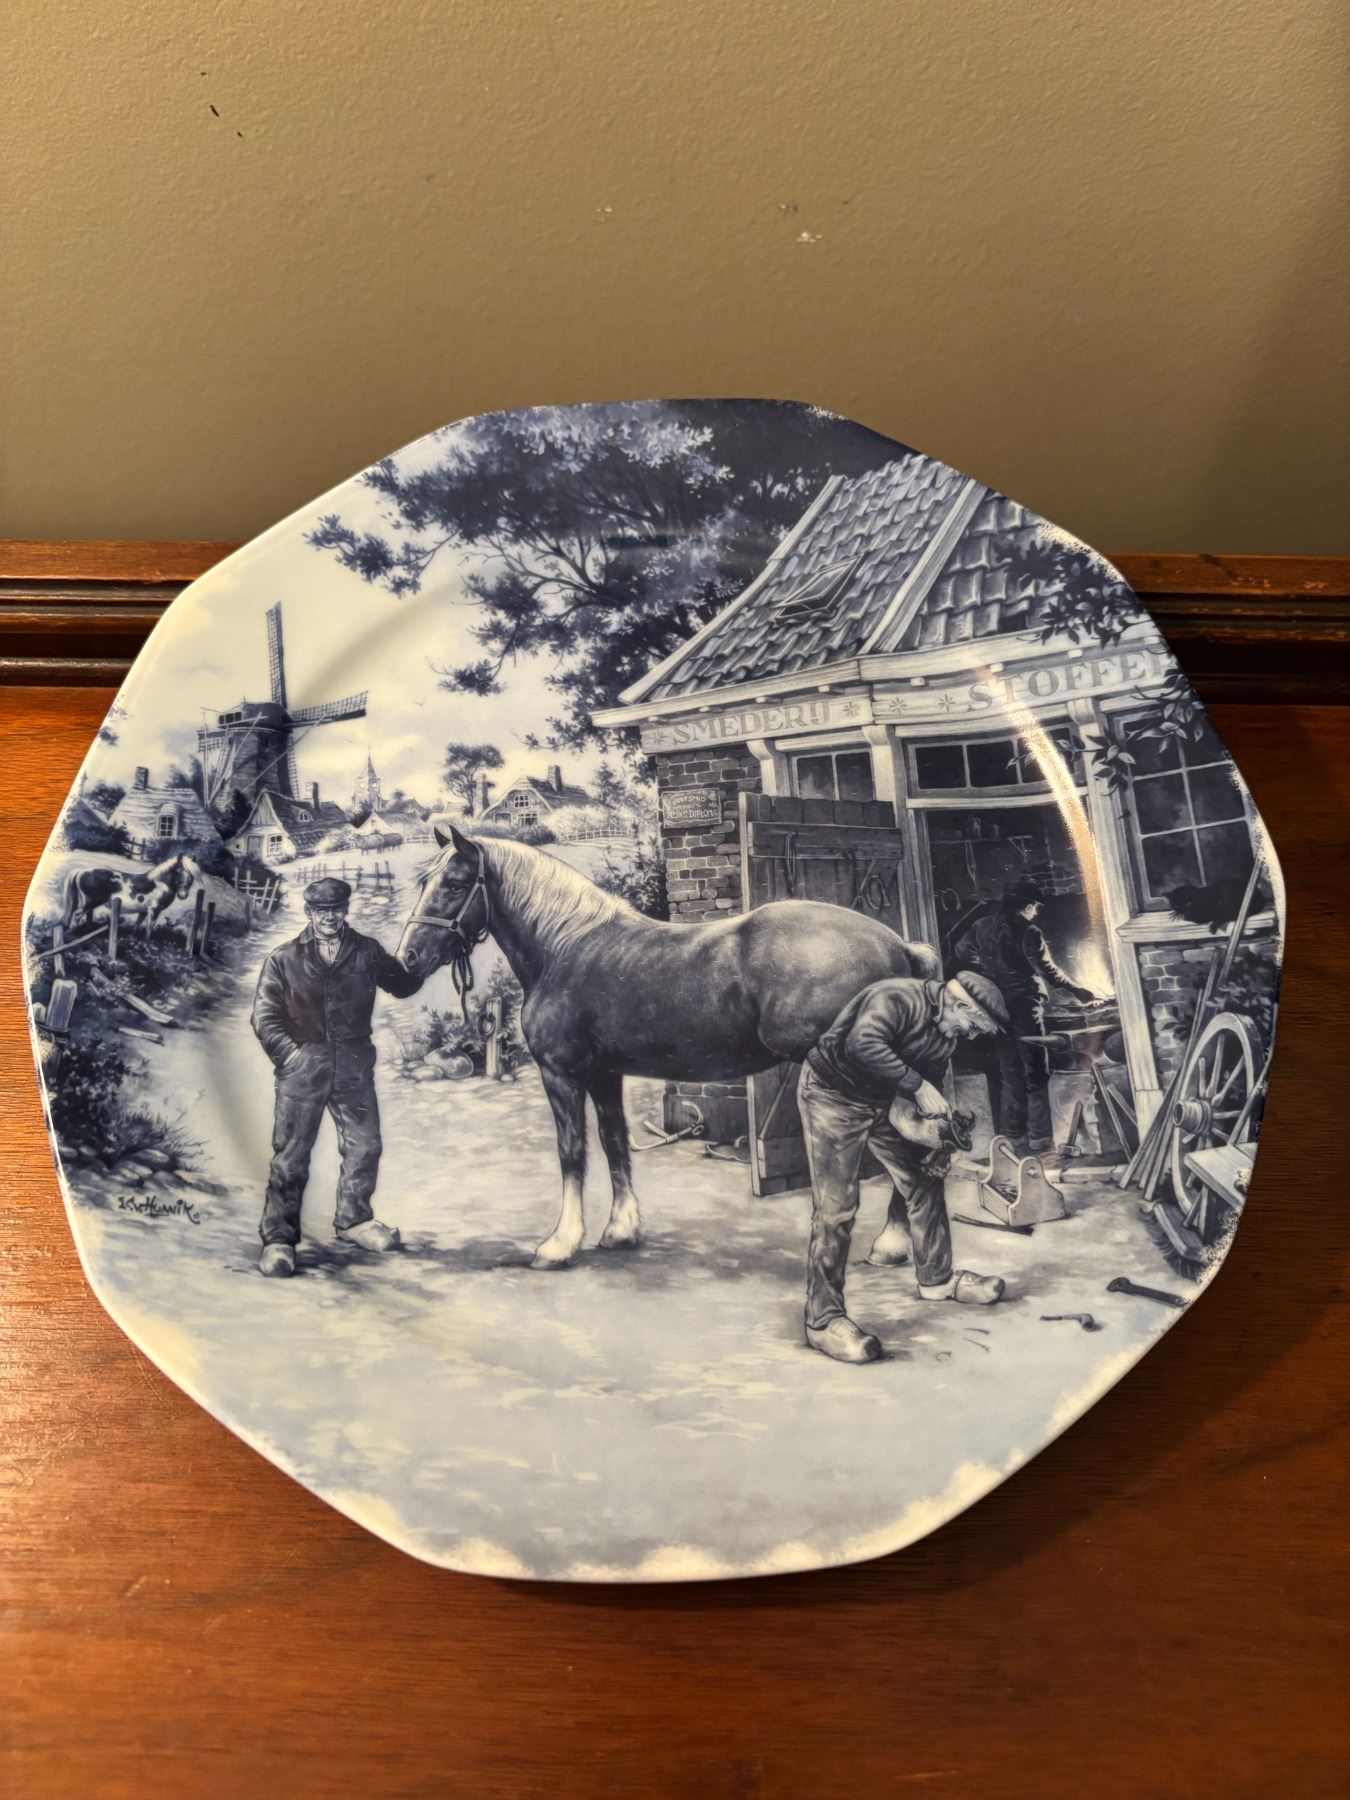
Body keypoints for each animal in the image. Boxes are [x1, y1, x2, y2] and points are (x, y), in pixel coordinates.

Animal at [62, 852, 201, 938]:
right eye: (178, 871)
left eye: (191, 875)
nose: (183, 895)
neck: (159, 883)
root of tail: (81, 871)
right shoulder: (154, 910)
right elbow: (149, 928)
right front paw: (147, 943)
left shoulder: (144, 911)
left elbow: (137, 925)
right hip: (91, 903)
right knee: (77, 915)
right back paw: (74, 933)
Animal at [396, 826, 941, 1269]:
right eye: (425, 882)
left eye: (454, 884)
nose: (408, 958)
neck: (565, 947)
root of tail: (898, 946)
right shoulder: (604, 1074)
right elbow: (614, 1143)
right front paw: (620, 1230)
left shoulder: (562, 1074)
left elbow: (572, 1152)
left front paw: (559, 1244)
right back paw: (897, 1244)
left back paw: (892, 1243)